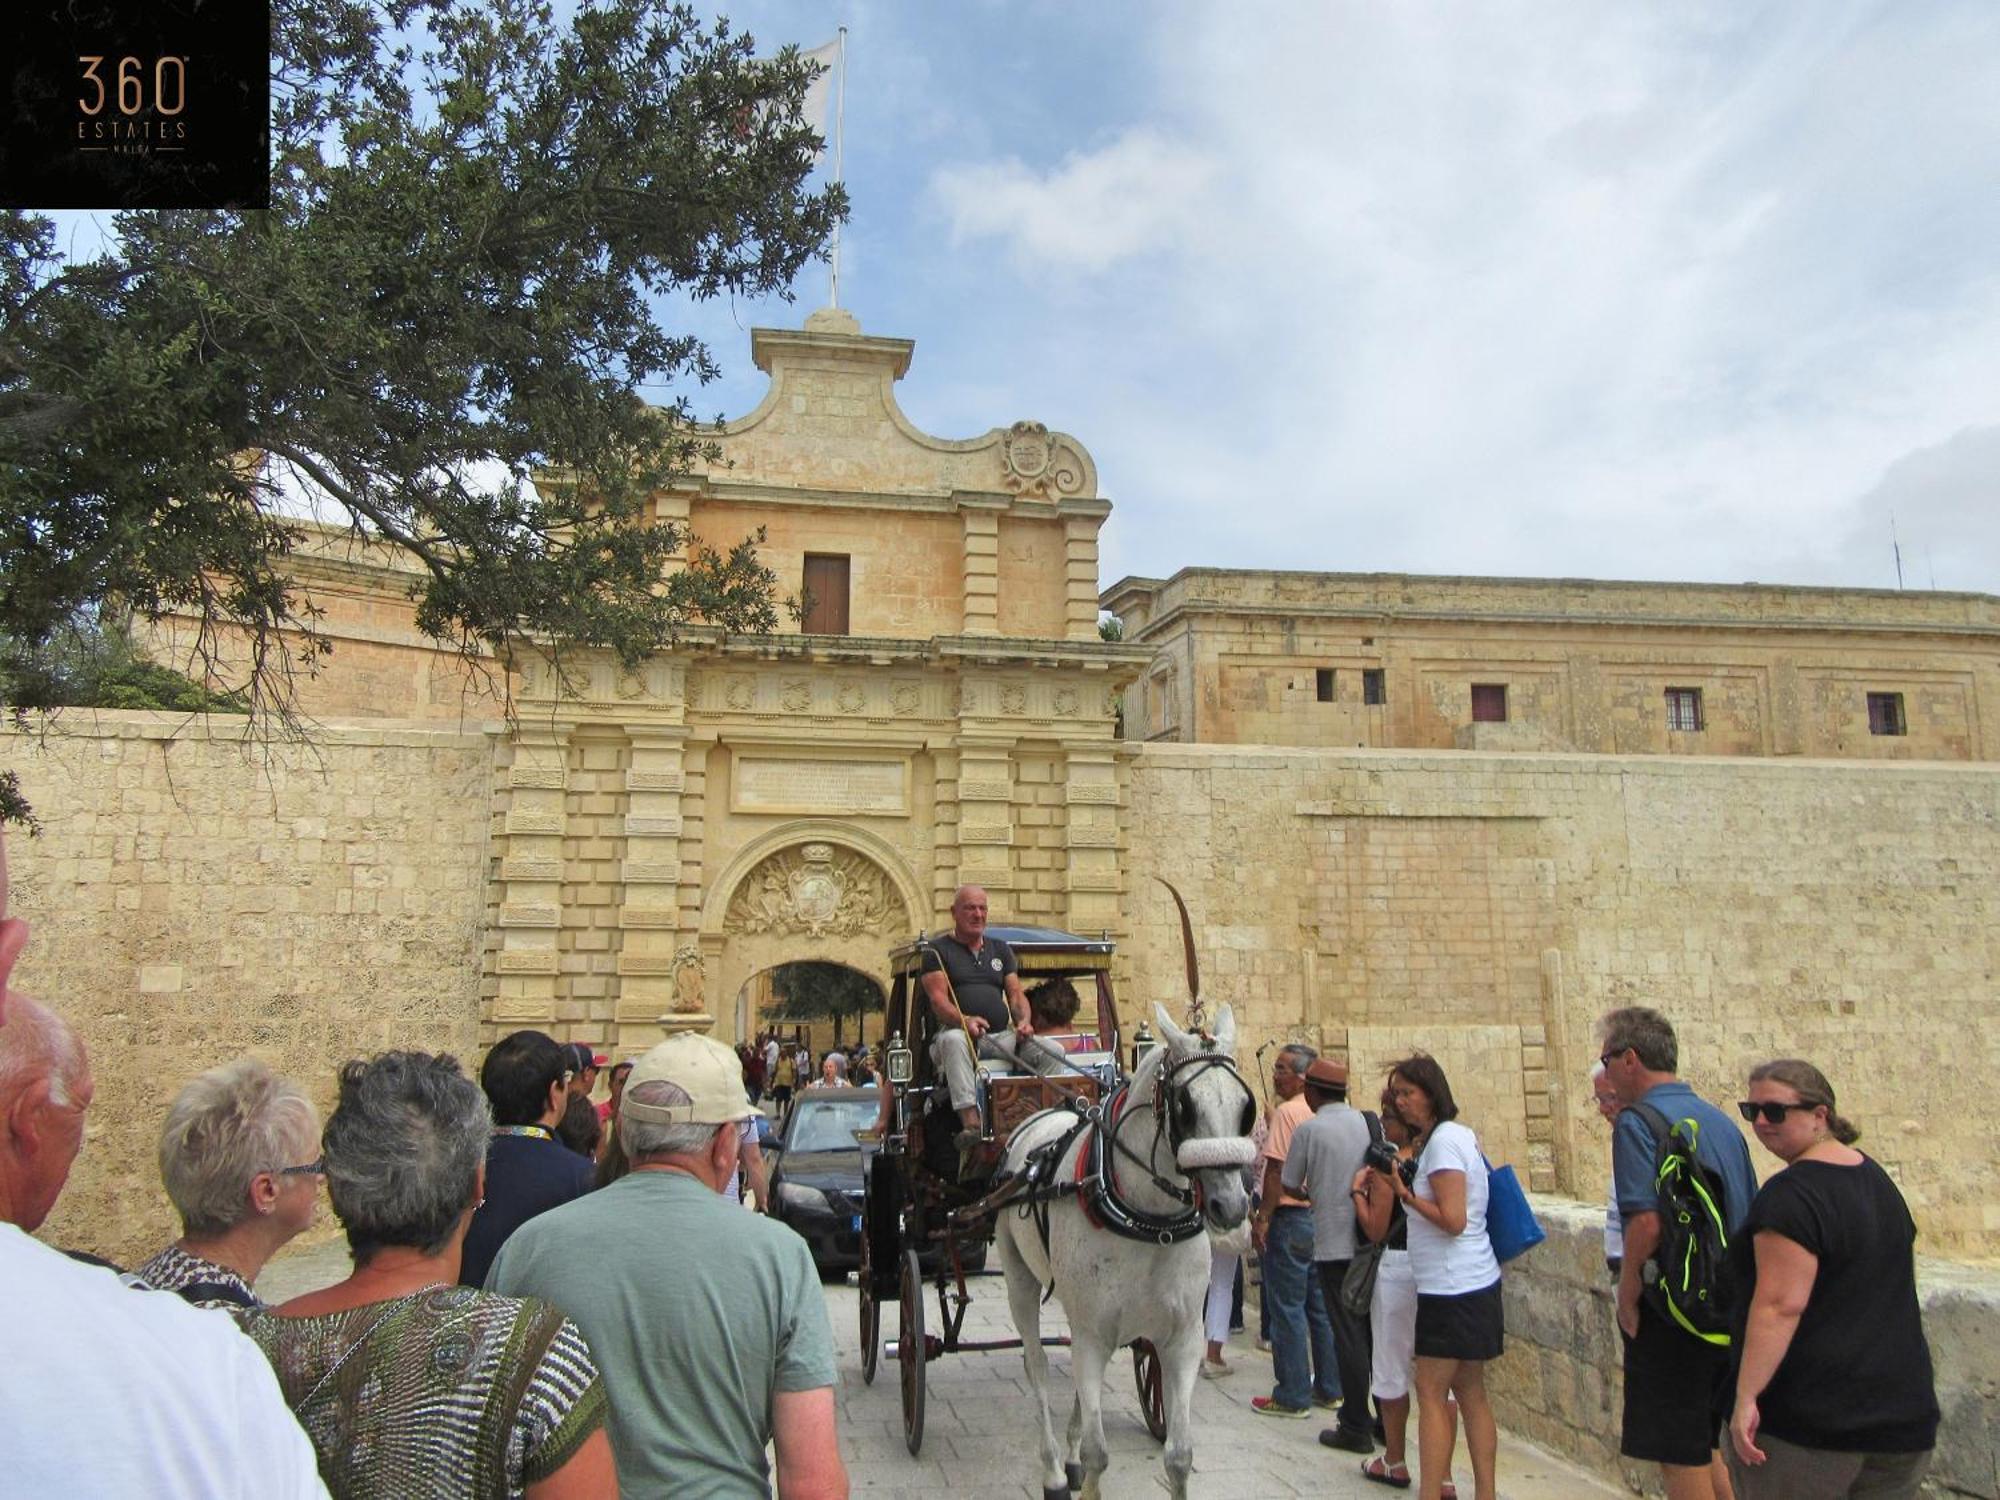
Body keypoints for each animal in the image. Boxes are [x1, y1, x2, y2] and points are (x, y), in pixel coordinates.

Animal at [996, 1004, 1256, 1500]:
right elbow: (1099, 1453)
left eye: (1245, 1108)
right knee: (1036, 1366)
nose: (1231, 1206)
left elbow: (1179, 1456)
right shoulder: (1093, 1331)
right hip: (1019, 1277)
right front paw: (1079, 1468)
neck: (1149, 1223)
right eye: (1185, 1106)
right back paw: (1054, 1470)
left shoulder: (1182, 1338)